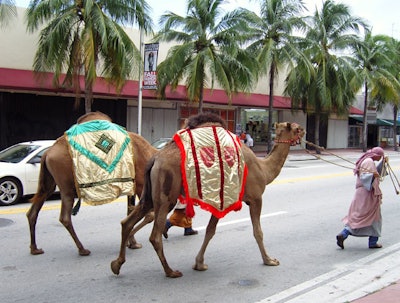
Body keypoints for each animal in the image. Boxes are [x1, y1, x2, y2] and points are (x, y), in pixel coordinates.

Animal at [26, 112, 158, 256]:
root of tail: (47, 153)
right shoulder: (140, 183)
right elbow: (149, 215)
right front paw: (130, 240)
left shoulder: (131, 186)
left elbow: (130, 212)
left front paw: (132, 243)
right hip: (66, 186)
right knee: (65, 217)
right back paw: (82, 249)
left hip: (49, 184)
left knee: (34, 210)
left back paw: (35, 248)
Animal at [111, 113, 304, 278]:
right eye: (296, 128)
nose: (304, 131)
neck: (264, 169)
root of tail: (155, 158)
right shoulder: (256, 198)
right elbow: (258, 232)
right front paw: (269, 260)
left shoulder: (221, 200)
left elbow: (210, 231)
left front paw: (199, 263)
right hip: (166, 194)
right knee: (155, 235)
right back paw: (170, 271)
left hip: (149, 194)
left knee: (127, 221)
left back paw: (117, 264)